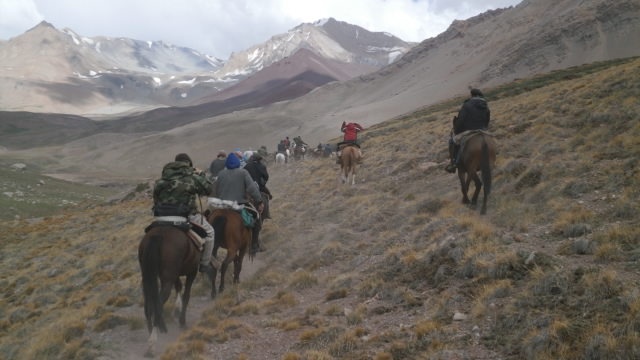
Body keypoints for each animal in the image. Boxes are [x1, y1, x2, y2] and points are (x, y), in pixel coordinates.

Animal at [139, 225, 205, 358]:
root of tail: (158, 235)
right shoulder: (192, 272)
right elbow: (186, 295)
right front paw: (182, 321)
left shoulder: (175, 274)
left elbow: (179, 286)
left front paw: (177, 310)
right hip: (168, 279)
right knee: (158, 305)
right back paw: (153, 343)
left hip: (147, 277)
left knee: (148, 306)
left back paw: (151, 337)